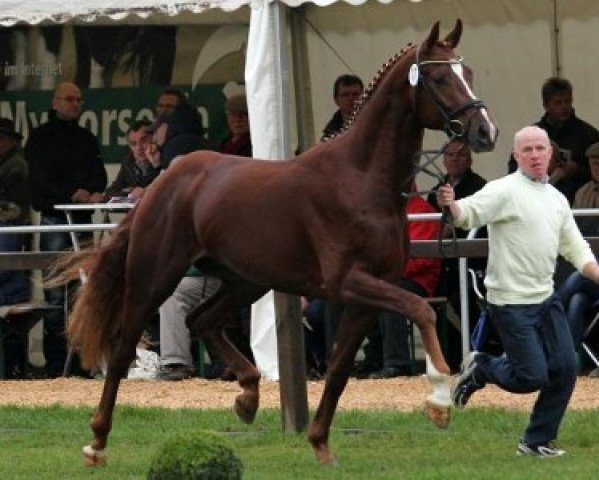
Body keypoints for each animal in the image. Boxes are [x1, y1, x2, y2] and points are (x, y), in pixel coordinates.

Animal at [61, 20, 500, 466]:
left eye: (469, 73)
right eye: (440, 77)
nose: (486, 131)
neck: (361, 179)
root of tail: (162, 183)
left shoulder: (368, 293)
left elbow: (339, 368)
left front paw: (320, 444)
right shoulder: (349, 282)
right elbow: (421, 311)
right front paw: (439, 401)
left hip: (245, 281)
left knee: (201, 320)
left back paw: (248, 396)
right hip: (154, 276)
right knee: (122, 350)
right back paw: (96, 442)